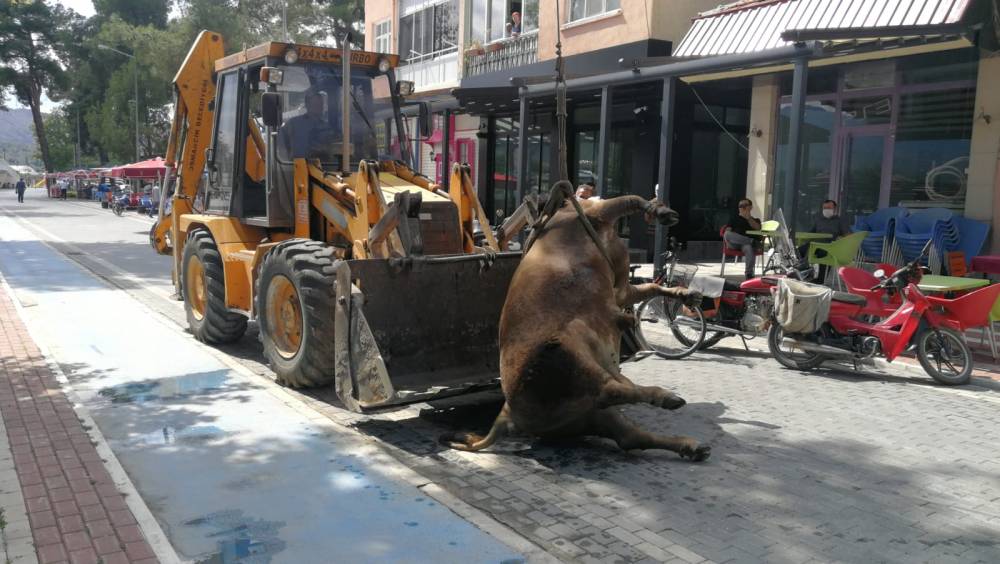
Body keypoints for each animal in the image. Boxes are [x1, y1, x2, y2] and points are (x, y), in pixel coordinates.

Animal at [444, 196, 712, 460]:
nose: (673, 216)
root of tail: (507, 413)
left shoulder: (621, 288)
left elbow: (650, 288)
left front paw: (691, 296)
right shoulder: (599, 214)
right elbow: (630, 200)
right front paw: (663, 212)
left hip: (591, 416)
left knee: (630, 435)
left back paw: (694, 446)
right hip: (568, 349)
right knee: (609, 390)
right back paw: (668, 398)